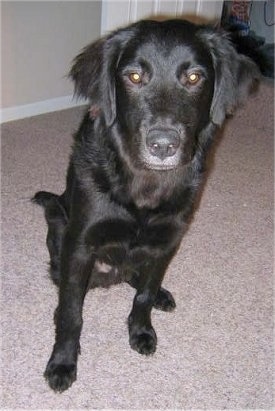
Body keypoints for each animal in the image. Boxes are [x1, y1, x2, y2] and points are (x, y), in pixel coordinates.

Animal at [33, 19, 260, 392]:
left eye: (194, 77)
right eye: (135, 77)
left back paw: (160, 294)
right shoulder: (80, 244)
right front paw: (63, 362)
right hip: (58, 221)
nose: (163, 144)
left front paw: (141, 330)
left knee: (138, 279)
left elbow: (144, 294)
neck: (144, 185)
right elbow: (71, 312)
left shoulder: (168, 240)